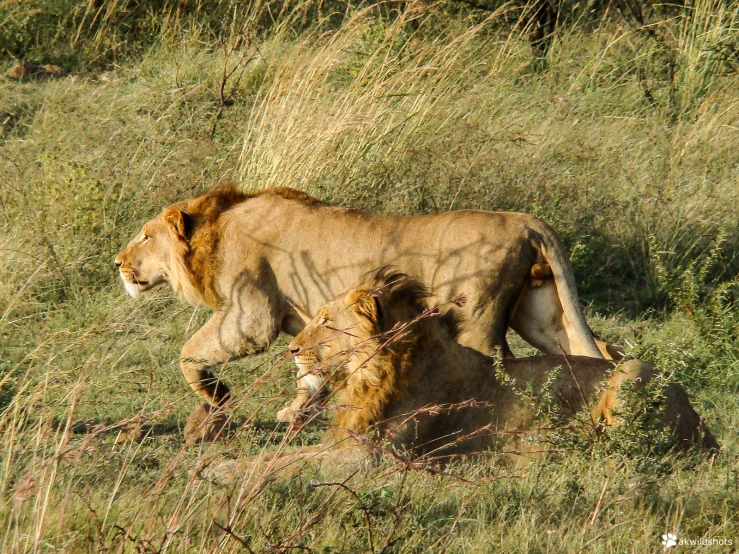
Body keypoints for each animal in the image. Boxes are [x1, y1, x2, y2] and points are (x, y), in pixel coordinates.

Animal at [115, 183, 620, 424]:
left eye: (145, 235)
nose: (118, 262)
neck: (219, 225)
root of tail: (527, 221)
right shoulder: (304, 325)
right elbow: (307, 373)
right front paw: (295, 415)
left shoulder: (249, 311)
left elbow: (191, 352)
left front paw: (215, 395)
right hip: (542, 314)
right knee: (596, 351)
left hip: (478, 320)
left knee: (499, 367)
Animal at [276, 268, 716, 466]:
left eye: (325, 321)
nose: (292, 350)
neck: (370, 376)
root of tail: (703, 426)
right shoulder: (342, 445)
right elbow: (274, 457)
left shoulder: (371, 457)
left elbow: (281, 464)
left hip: (631, 372)